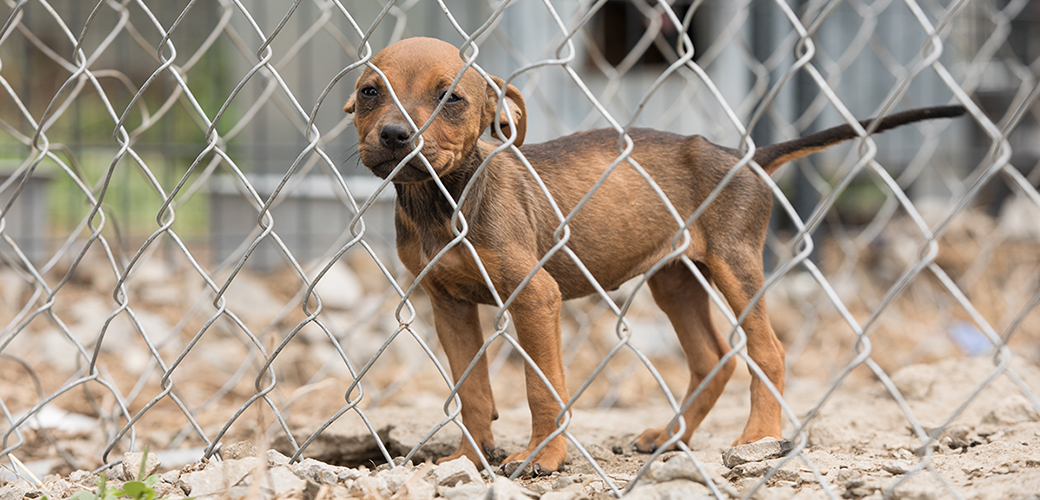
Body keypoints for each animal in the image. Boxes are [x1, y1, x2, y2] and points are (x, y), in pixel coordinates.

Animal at [347, 36, 965, 471]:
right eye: (371, 91)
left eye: (451, 99)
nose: (396, 136)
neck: (442, 198)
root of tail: (745, 157)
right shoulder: (448, 303)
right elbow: (472, 392)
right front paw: (469, 460)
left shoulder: (535, 297)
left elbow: (542, 388)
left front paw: (543, 458)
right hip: (676, 277)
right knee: (713, 357)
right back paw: (671, 437)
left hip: (736, 265)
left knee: (767, 351)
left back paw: (758, 437)